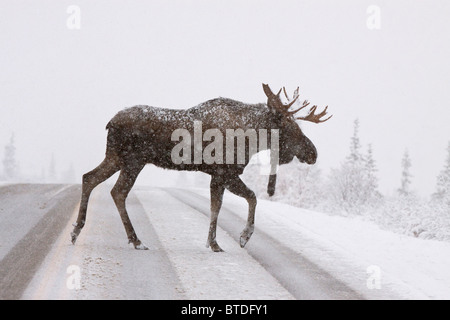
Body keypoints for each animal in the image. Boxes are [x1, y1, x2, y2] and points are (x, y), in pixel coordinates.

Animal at [70, 84, 330, 251]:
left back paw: (77, 231)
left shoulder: (221, 175)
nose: (313, 153)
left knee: (89, 178)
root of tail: (109, 123)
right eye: (290, 127)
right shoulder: (225, 172)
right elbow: (244, 200)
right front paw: (237, 238)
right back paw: (135, 240)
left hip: (116, 157)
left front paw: (219, 241)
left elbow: (225, 204)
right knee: (118, 191)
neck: (251, 138)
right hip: (133, 161)